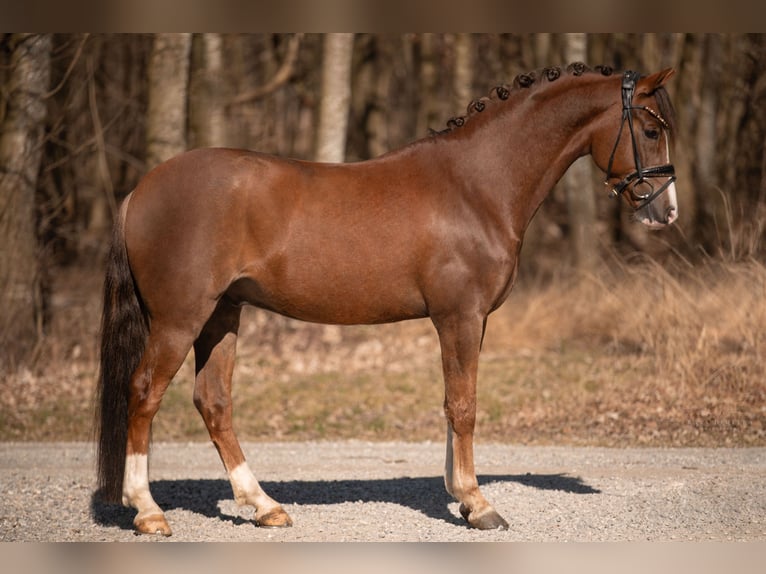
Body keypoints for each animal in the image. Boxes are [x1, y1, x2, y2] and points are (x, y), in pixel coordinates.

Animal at [94, 65, 680, 536]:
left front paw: (460, 496)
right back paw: (148, 511)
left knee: (213, 402)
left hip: (221, 315)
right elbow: (464, 405)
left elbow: (454, 402)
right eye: (651, 130)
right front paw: (478, 504)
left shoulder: (470, 321)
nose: (665, 210)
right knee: (144, 393)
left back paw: (264, 506)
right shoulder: (458, 316)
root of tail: (141, 191)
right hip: (180, 319)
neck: (475, 185)